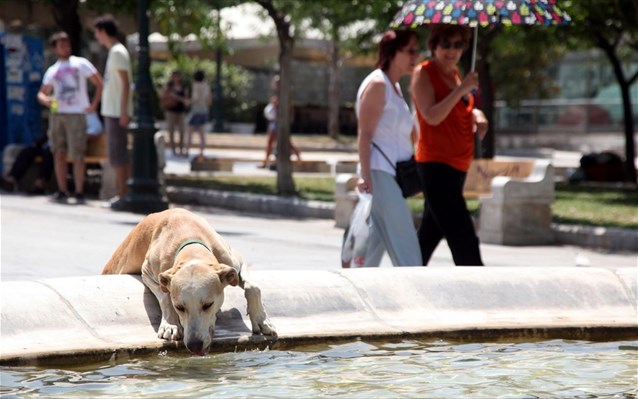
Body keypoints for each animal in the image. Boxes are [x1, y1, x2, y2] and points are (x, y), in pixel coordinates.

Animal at [103, 208, 278, 354]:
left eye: (208, 305)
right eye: (179, 307)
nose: (194, 346)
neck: (191, 244)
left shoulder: (234, 261)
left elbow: (253, 287)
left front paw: (262, 320)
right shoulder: (148, 270)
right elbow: (165, 296)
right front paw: (170, 324)